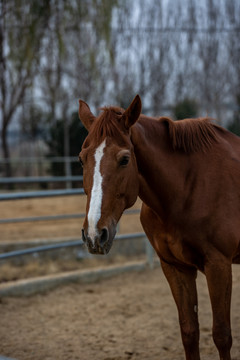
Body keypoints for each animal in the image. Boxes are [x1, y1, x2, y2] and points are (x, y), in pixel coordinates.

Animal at [78, 94, 239, 358]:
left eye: (125, 159)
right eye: (81, 160)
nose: (94, 234)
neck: (188, 188)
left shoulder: (219, 265)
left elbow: (222, 335)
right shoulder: (175, 267)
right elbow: (189, 332)